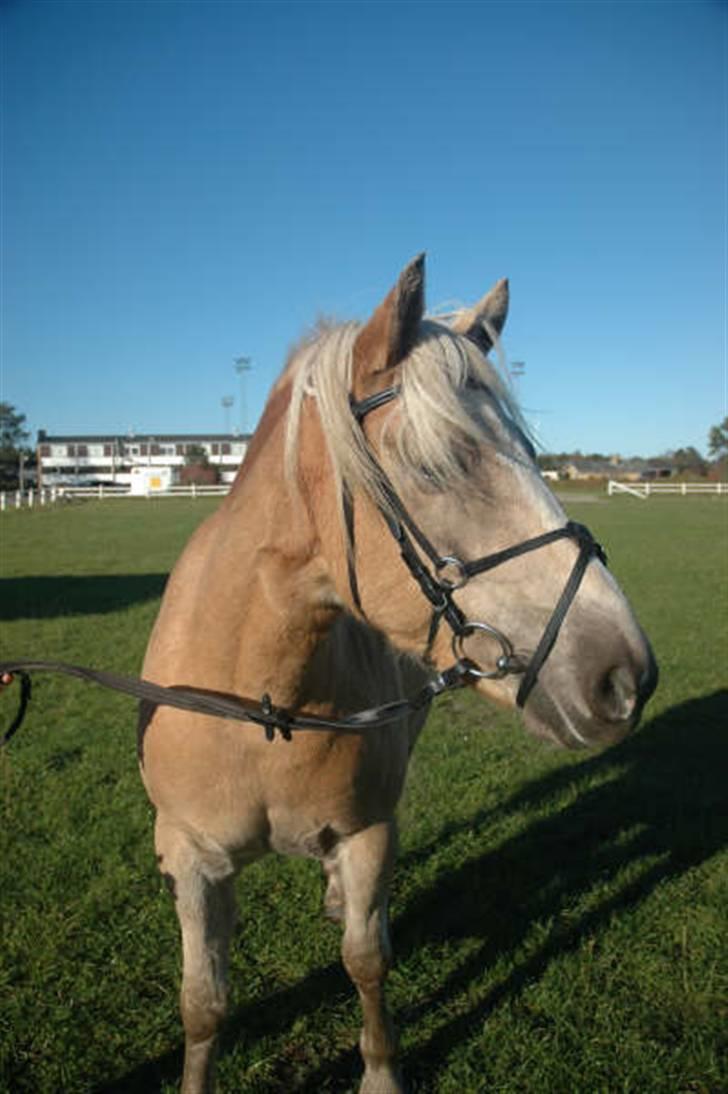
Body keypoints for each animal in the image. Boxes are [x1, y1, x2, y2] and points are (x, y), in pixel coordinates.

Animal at [139, 258, 656, 1094]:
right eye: (434, 464)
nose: (626, 676)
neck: (264, 707)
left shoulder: (369, 832)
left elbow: (366, 963)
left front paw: (380, 1070)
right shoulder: (192, 861)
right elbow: (204, 1003)